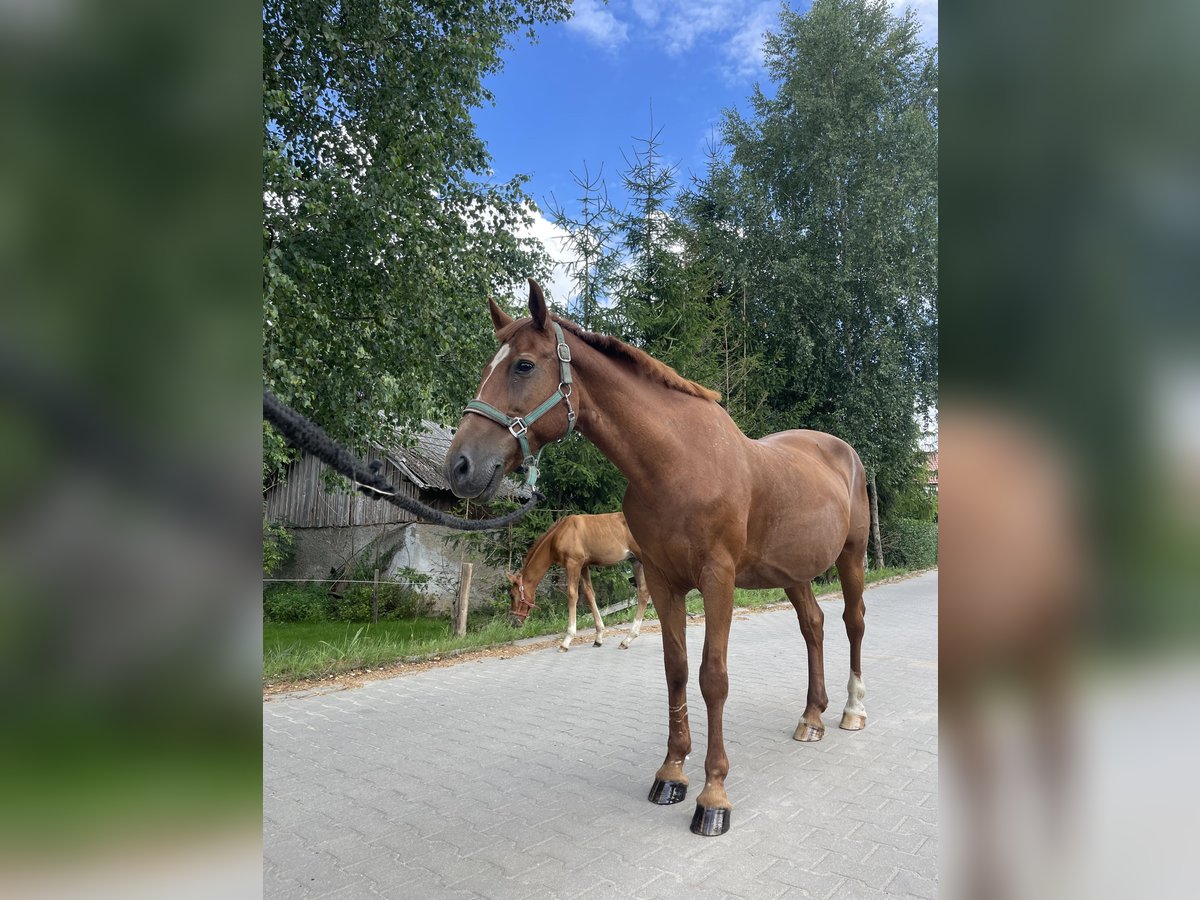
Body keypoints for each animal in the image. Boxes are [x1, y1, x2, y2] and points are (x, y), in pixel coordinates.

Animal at [507, 511, 653, 652]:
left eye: (512, 595)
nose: (513, 622)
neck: (559, 535)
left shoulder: (573, 564)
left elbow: (572, 595)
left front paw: (566, 641)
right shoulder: (583, 566)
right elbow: (589, 594)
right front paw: (598, 637)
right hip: (635, 561)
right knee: (643, 592)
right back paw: (627, 640)